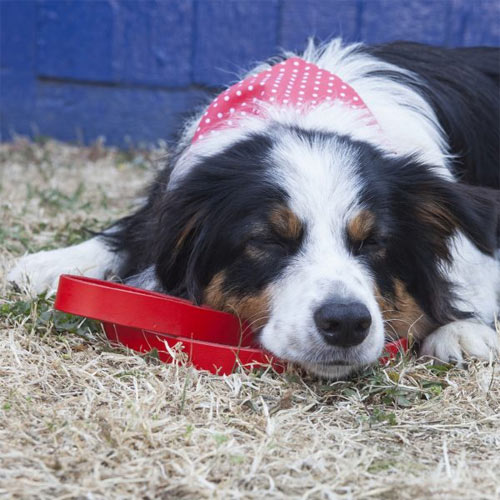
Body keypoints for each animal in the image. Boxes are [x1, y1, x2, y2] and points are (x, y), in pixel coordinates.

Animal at [8, 39, 500, 376]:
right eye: (268, 240)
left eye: (373, 241)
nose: (346, 323)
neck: (305, 109)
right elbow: (133, 233)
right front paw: (50, 264)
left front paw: (463, 329)